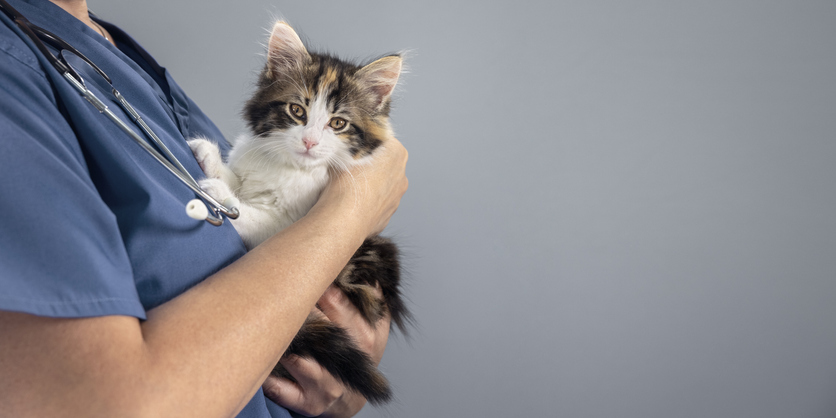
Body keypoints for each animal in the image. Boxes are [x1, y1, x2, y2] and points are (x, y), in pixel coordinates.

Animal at [190, 21, 412, 404]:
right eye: (297, 111)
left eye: (338, 124)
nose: (309, 142)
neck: (289, 167)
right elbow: (240, 177)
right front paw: (212, 159)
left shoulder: (289, 223)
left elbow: (255, 217)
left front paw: (222, 195)